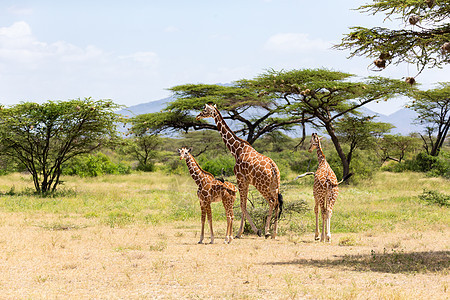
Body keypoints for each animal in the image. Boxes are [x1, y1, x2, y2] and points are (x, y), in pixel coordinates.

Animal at [195, 103, 284, 239]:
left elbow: (242, 205)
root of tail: (274, 168)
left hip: (261, 185)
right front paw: (248, 231)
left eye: (205, 110)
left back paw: (267, 231)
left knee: (272, 201)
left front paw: (241, 232)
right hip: (274, 185)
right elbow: (244, 204)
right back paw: (274, 232)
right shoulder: (245, 181)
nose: (197, 116)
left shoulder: (240, 179)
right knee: (277, 203)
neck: (236, 150)